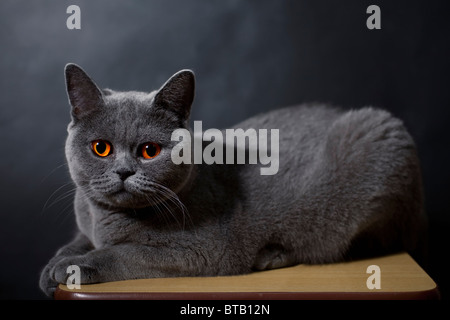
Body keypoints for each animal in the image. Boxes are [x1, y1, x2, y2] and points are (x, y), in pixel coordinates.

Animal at [39, 63, 426, 298]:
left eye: (149, 151)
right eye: (101, 148)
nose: (123, 171)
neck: (106, 219)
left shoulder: (202, 251)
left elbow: (125, 252)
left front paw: (73, 267)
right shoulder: (86, 222)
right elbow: (77, 241)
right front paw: (51, 267)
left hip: (374, 141)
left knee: (358, 243)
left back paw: (271, 255)